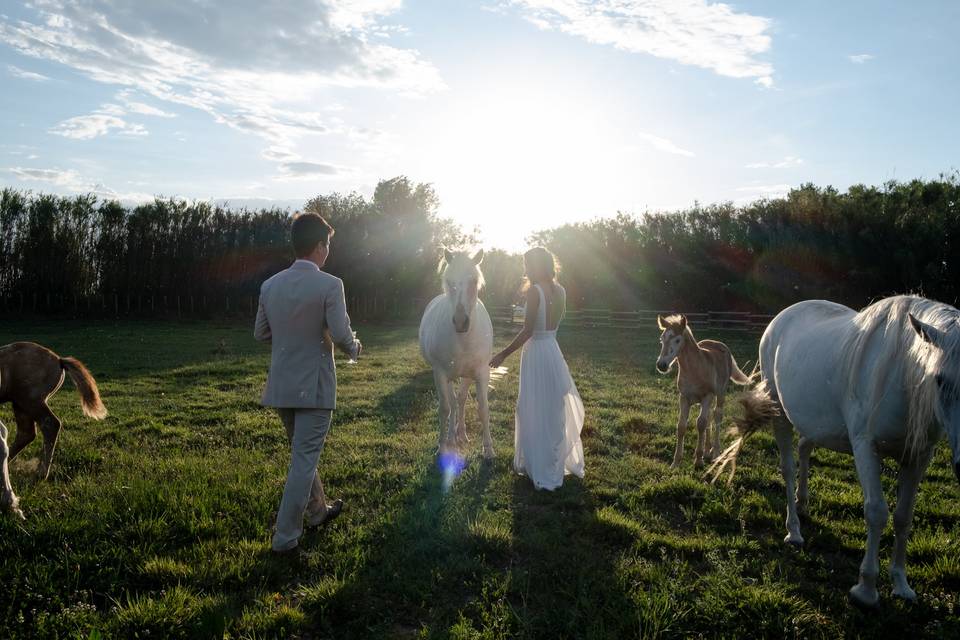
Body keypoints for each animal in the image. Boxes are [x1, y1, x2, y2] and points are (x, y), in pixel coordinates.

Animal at [420, 248, 496, 458]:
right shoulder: (440, 373)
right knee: (453, 403)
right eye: (449, 281)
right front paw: (442, 445)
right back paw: (452, 438)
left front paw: (488, 449)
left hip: (466, 375)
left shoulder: (481, 372)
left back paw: (461, 434)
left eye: (474, 281)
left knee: (460, 401)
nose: (461, 322)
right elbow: (444, 408)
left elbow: (483, 409)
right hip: (449, 377)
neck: (462, 340)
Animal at [656, 314, 752, 468]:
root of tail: (718, 343)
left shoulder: (707, 396)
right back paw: (707, 451)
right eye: (661, 339)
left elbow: (700, 424)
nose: (662, 365)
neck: (694, 369)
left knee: (717, 416)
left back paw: (715, 452)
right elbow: (681, 426)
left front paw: (698, 461)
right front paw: (676, 462)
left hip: (720, 394)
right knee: (709, 418)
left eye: (677, 340)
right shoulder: (684, 397)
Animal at [712, 294, 960, 604]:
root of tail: (782, 316)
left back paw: (802, 503)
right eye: (940, 379)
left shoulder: (919, 456)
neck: (902, 372)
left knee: (804, 448)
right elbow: (877, 511)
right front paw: (866, 588)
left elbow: (904, 517)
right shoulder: (865, 447)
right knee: (788, 468)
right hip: (779, 413)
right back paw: (794, 531)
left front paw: (901, 586)